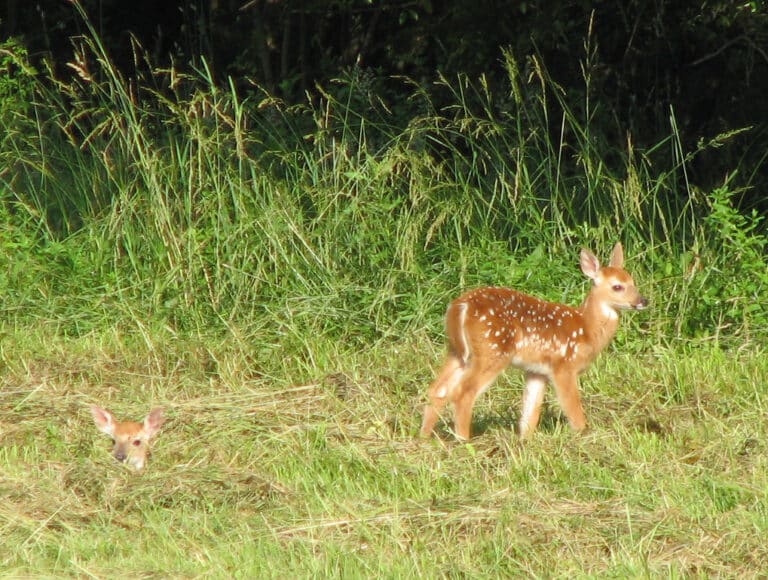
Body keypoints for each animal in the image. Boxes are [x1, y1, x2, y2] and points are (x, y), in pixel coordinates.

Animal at [420, 242, 648, 441]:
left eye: (633, 282)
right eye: (617, 287)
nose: (643, 301)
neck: (586, 328)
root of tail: (460, 307)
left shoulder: (537, 371)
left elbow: (530, 412)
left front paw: (525, 441)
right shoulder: (564, 366)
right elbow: (573, 410)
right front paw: (583, 436)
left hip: (457, 352)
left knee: (438, 390)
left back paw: (425, 437)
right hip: (492, 351)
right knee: (463, 393)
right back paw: (463, 440)